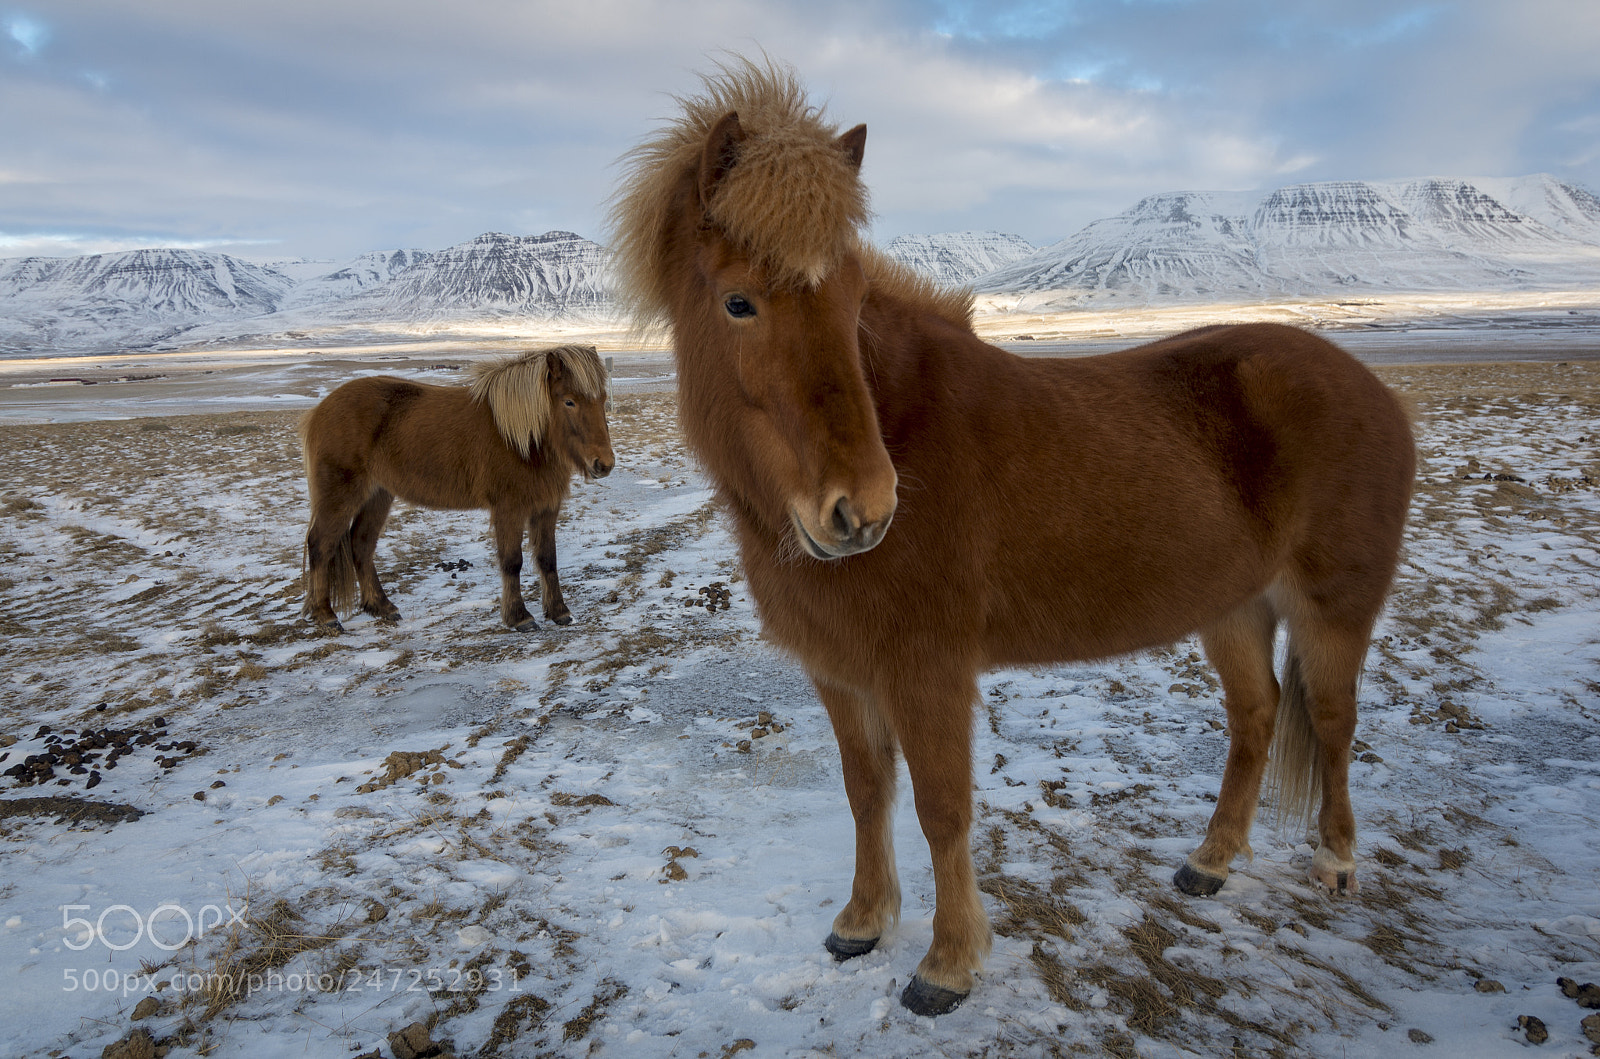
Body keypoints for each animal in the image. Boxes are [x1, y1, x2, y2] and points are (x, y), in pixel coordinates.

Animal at [298, 344, 615, 633]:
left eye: (602, 399)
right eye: (569, 402)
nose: (604, 464)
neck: (520, 438)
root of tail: (320, 410)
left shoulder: (547, 507)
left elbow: (548, 559)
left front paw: (560, 612)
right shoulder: (509, 509)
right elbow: (512, 561)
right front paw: (519, 617)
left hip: (378, 496)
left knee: (361, 544)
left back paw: (382, 607)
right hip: (340, 496)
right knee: (321, 544)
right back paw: (326, 615)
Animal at [607, 58, 1416, 1017]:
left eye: (850, 302)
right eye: (739, 301)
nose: (863, 510)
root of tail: (1371, 387)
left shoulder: (927, 669)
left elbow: (941, 808)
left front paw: (947, 964)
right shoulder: (841, 671)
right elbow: (865, 792)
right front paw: (861, 921)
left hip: (1331, 610)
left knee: (1330, 720)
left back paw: (1335, 859)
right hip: (1234, 608)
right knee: (1255, 719)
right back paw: (1210, 862)